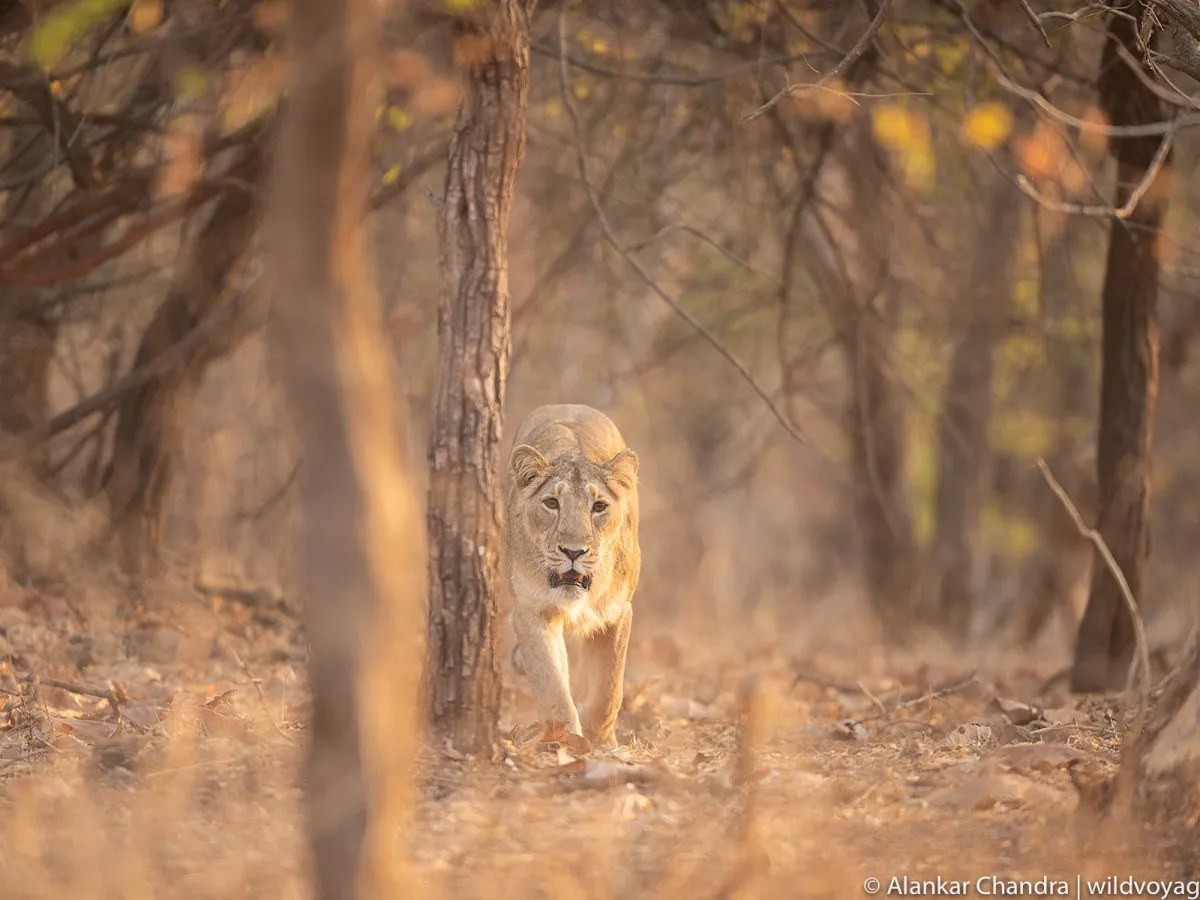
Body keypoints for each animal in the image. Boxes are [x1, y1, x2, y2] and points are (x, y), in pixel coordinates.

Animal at [502, 404, 641, 751]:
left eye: (599, 506)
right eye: (552, 503)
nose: (573, 551)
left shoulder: (618, 612)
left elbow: (609, 688)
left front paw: (603, 742)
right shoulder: (530, 613)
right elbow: (552, 686)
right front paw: (568, 742)